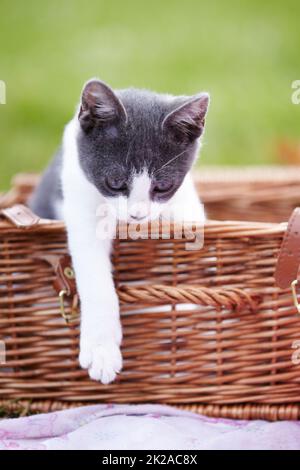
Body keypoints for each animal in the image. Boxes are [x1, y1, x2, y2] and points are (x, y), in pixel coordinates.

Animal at [29, 79, 210, 384]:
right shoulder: (78, 194)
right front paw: (101, 350)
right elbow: (91, 268)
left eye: (163, 187)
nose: (137, 215)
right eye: (115, 182)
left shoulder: (187, 200)